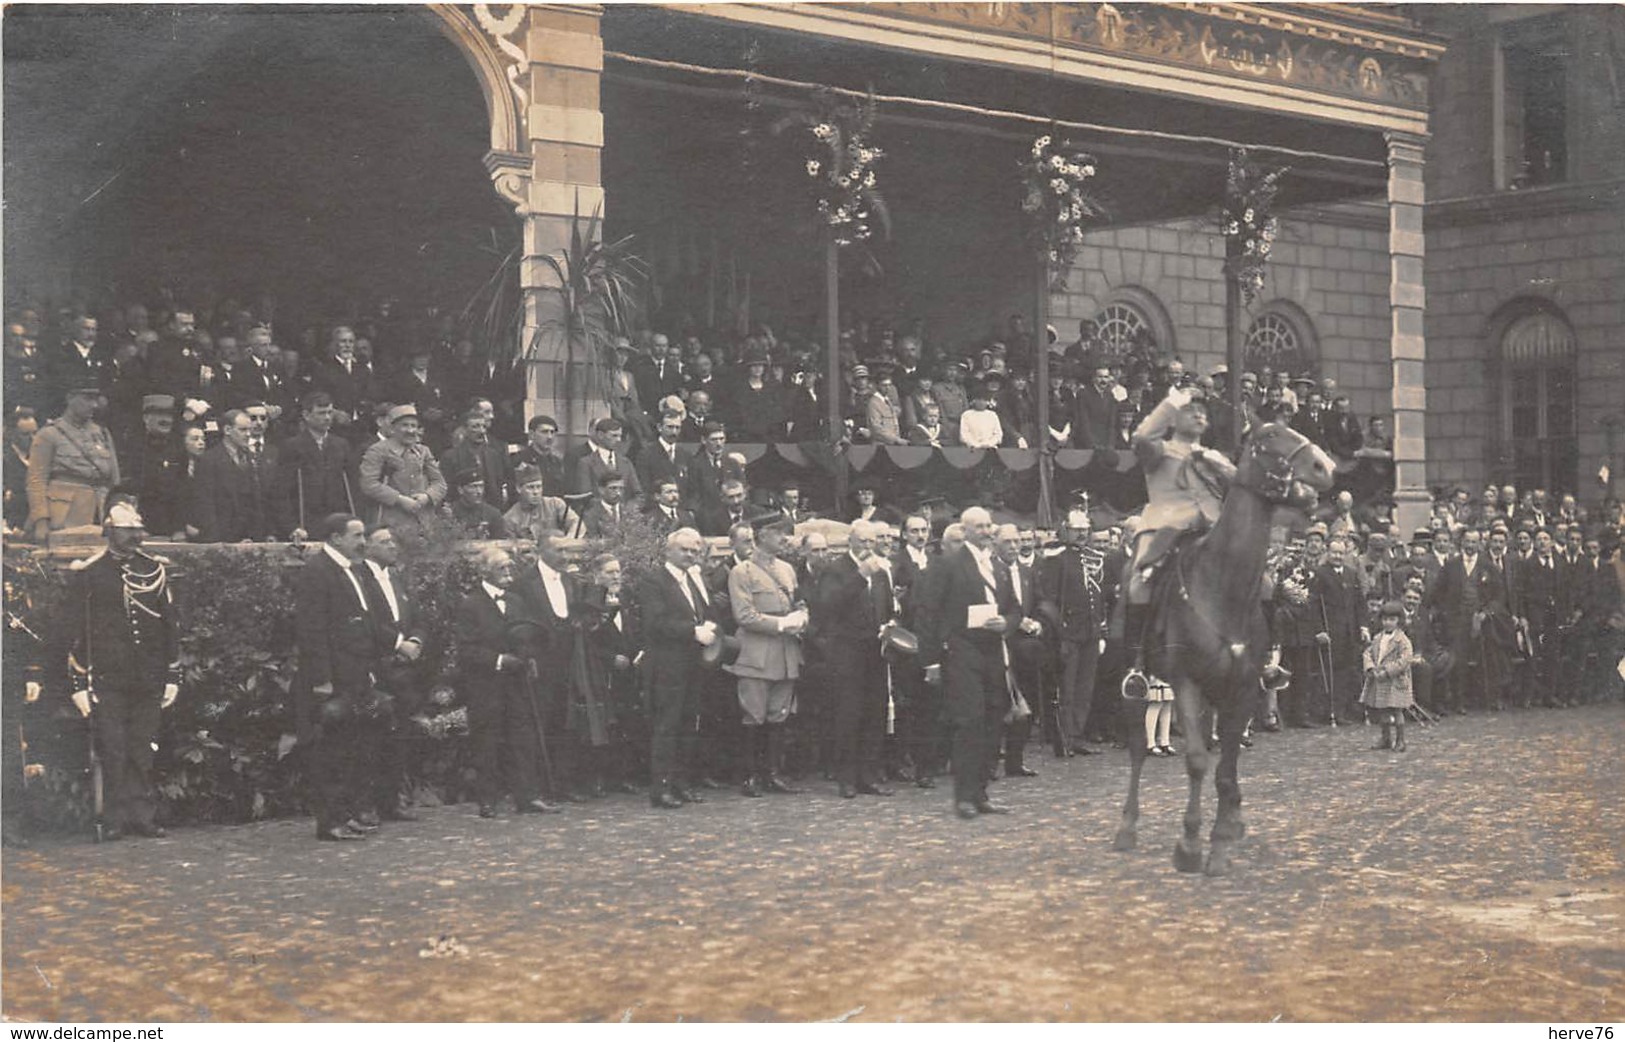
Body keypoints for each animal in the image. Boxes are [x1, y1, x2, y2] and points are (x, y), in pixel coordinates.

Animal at [1111, 419, 1339, 871]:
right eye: (1268, 437)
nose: (1325, 467)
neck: (1221, 584)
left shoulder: (1244, 686)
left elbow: (1228, 766)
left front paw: (1220, 838)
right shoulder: (1185, 682)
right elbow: (1199, 760)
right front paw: (1189, 844)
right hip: (1137, 685)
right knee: (1138, 749)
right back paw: (1127, 827)